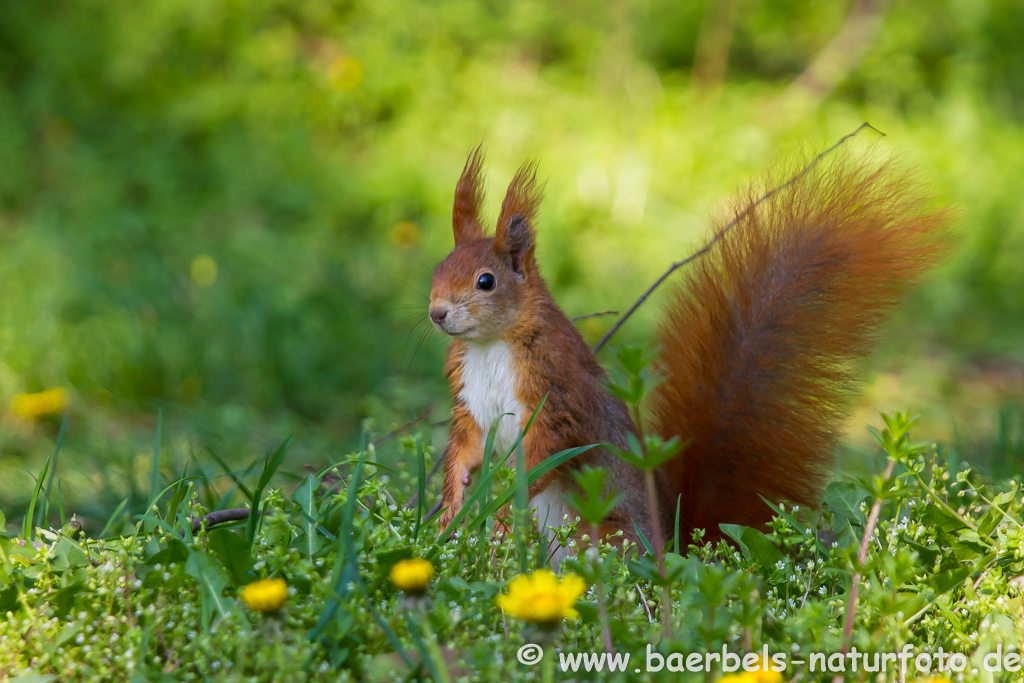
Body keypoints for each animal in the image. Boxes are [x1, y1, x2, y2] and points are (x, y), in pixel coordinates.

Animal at [428, 145, 946, 561]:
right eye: (437, 270)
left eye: (486, 281)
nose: (436, 313)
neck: (490, 345)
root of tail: (678, 548)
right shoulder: (471, 402)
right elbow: (465, 448)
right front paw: (452, 509)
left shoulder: (557, 392)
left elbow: (544, 454)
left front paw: (497, 507)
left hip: (601, 533)